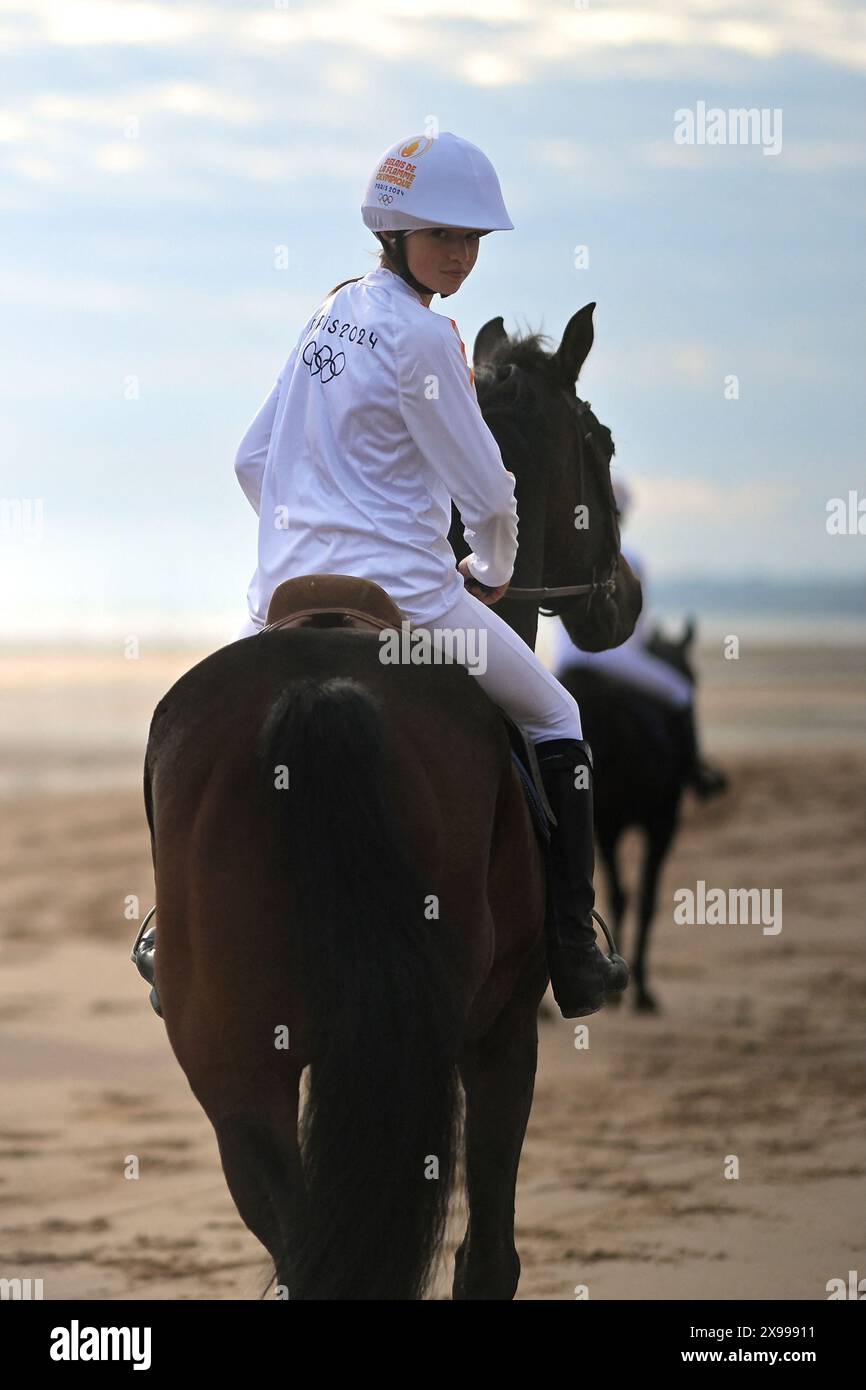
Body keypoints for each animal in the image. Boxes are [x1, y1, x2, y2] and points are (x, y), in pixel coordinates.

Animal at [143, 298, 644, 1295]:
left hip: (235, 1071)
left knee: (301, 1244)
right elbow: (488, 1257)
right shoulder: (503, 1028)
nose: (626, 601)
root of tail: (319, 691)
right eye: (601, 443)